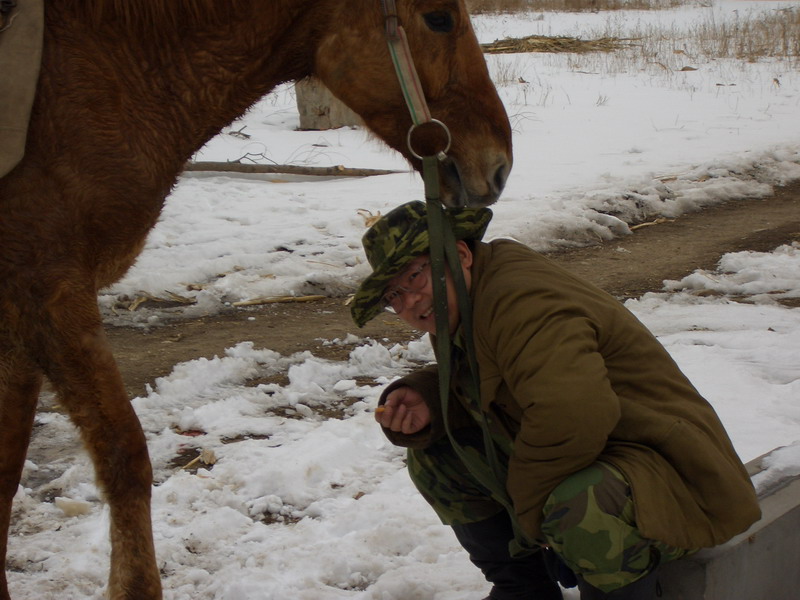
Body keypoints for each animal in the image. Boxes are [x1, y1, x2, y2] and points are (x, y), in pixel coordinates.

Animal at [0, 1, 512, 600]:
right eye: (438, 18)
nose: (499, 166)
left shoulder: (17, 323)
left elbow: (7, 472)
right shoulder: (49, 292)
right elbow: (125, 459)